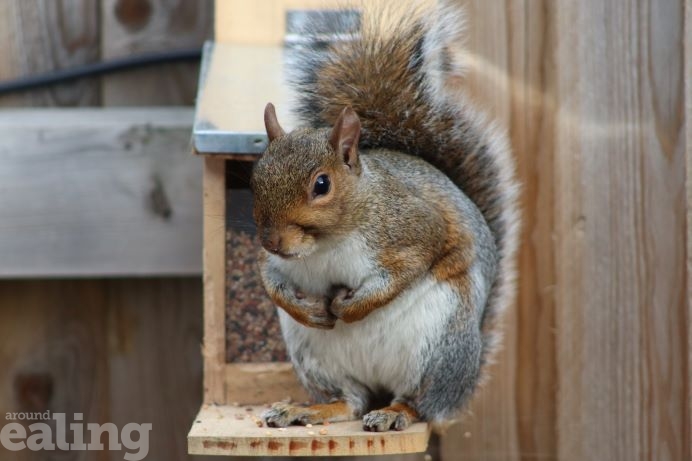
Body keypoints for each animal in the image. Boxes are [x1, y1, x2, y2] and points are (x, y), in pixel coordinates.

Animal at [252, 0, 520, 433]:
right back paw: (308, 410)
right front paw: (305, 307)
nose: (272, 240)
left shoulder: (413, 228)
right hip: (315, 358)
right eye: (254, 175)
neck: (324, 246)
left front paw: (351, 307)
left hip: (438, 350)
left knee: (420, 404)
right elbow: (270, 279)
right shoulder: (275, 260)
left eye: (322, 184)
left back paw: (396, 413)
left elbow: (409, 267)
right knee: (349, 400)